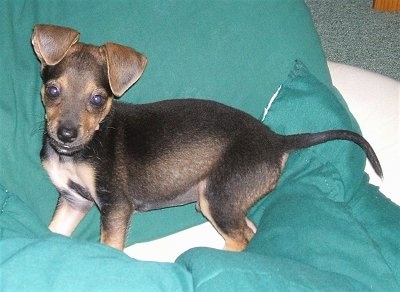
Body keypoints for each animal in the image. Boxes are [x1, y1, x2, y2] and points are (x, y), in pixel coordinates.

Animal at [31, 24, 382, 251]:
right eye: (52, 91)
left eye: (97, 99)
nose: (66, 134)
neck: (76, 152)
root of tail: (276, 140)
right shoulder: (73, 201)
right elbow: (51, 232)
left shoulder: (115, 206)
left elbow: (110, 248)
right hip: (221, 201)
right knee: (249, 231)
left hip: (217, 198)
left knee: (240, 240)